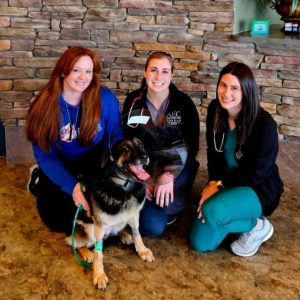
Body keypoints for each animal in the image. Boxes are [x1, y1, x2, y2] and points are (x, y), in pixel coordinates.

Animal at [66, 137, 155, 290]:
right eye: (126, 149)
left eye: (141, 145)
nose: (145, 157)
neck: (124, 187)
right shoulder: (100, 225)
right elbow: (99, 253)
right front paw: (99, 274)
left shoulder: (134, 215)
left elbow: (137, 233)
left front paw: (142, 250)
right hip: (89, 230)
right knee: (76, 242)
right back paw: (86, 252)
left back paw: (124, 235)